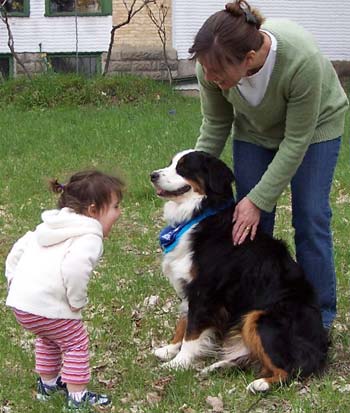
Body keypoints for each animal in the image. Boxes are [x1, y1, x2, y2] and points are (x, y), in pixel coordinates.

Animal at [150, 149, 328, 392]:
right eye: (171, 163)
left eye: (183, 168)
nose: (152, 175)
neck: (202, 214)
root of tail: (320, 347)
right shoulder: (190, 287)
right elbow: (183, 321)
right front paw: (169, 348)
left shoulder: (203, 290)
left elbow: (192, 329)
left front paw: (179, 362)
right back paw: (219, 366)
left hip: (259, 317)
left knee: (291, 369)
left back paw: (260, 384)